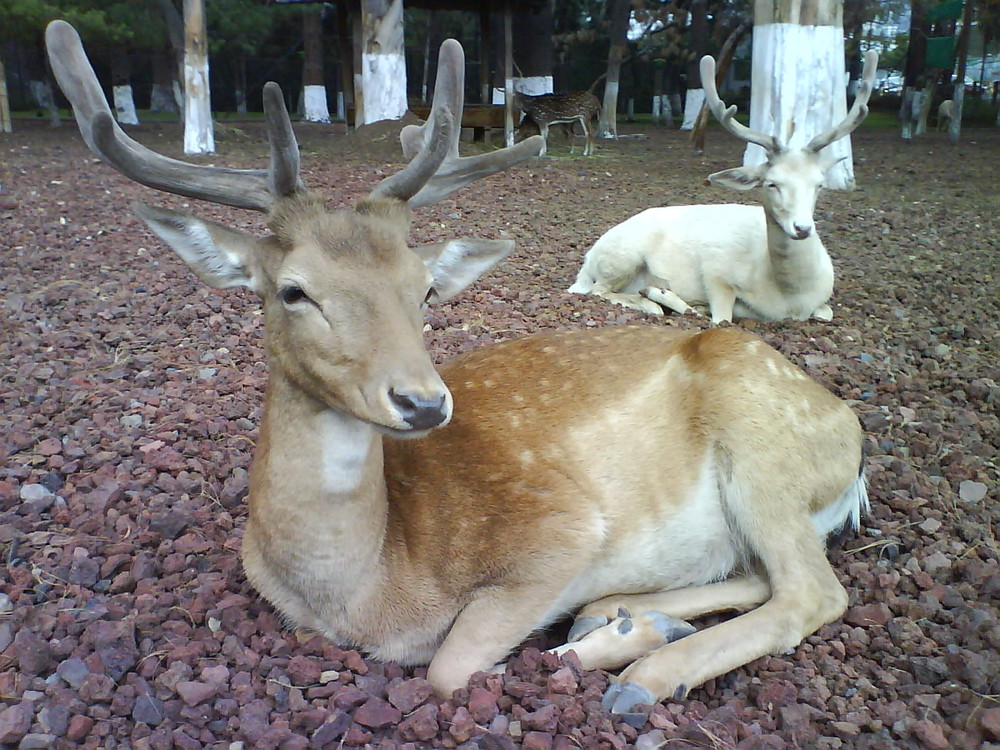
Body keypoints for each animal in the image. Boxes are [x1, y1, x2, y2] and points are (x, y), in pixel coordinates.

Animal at [568, 51, 880, 324]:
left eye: (819, 184)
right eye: (772, 183)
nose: (802, 228)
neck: (790, 297)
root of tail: (588, 258)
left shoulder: (821, 300)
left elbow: (826, 313)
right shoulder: (716, 272)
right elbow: (721, 317)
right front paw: (677, 299)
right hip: (621, 255)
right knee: (598, 290)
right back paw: (653, 298)